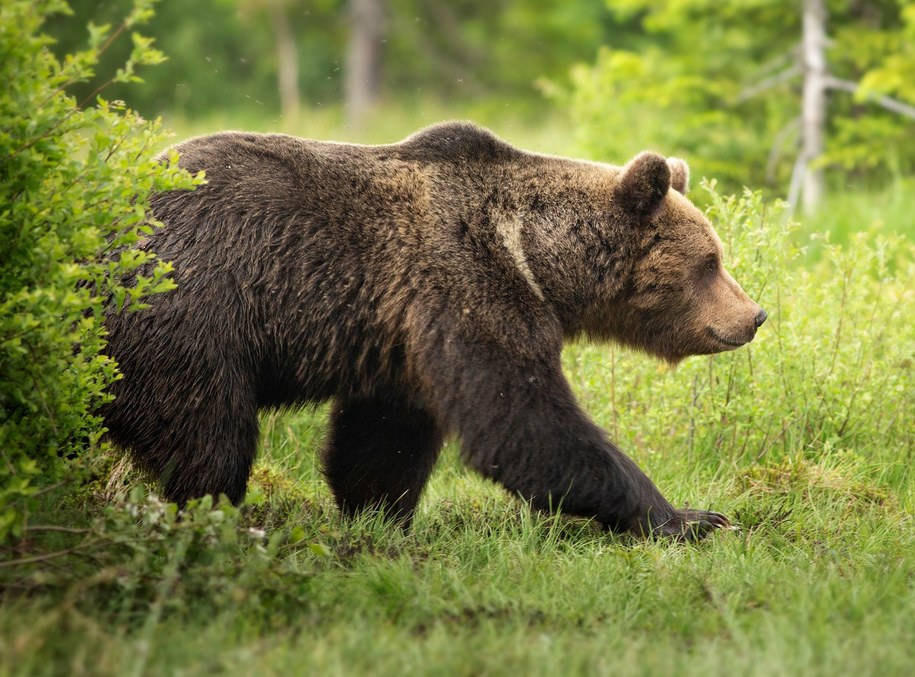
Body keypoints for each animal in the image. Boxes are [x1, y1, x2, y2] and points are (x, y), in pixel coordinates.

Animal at [102, 121, 764, 540]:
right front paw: (691, 518)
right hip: (185, 318)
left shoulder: (402, 335)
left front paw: (379, 517)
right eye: (710, 261)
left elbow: (384, 438)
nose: (754, 316)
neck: (536, 257)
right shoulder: (465, 286)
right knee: (209, 438)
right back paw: (215, 519)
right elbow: (523, 420)